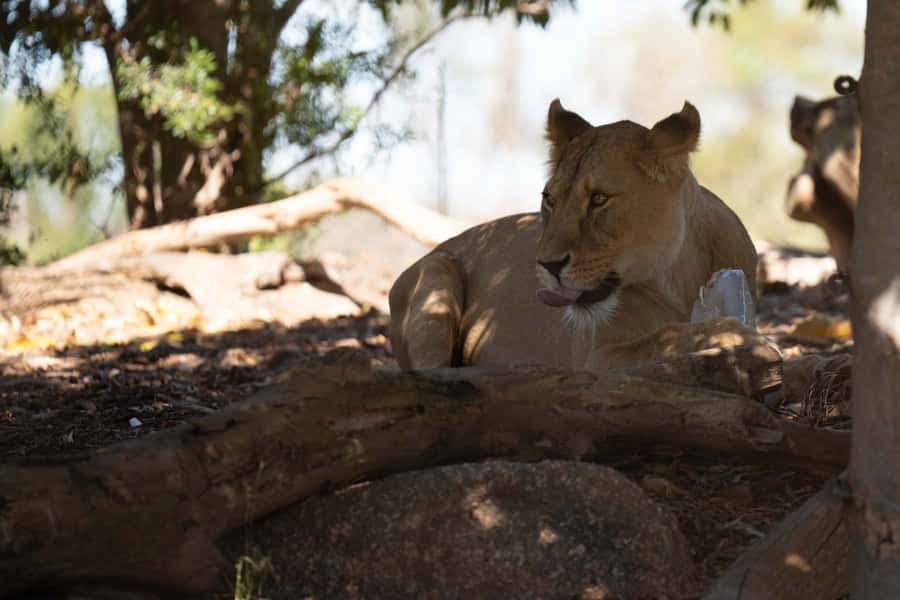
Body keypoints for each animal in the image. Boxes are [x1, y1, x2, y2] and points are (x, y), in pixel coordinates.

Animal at [389, 99, 767, 371]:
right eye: (550, 199)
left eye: (598, 198)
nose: (547, 265)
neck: (678, 275)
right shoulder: (596, 358)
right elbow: (664, 336)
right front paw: (732, 331)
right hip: (439, 269)